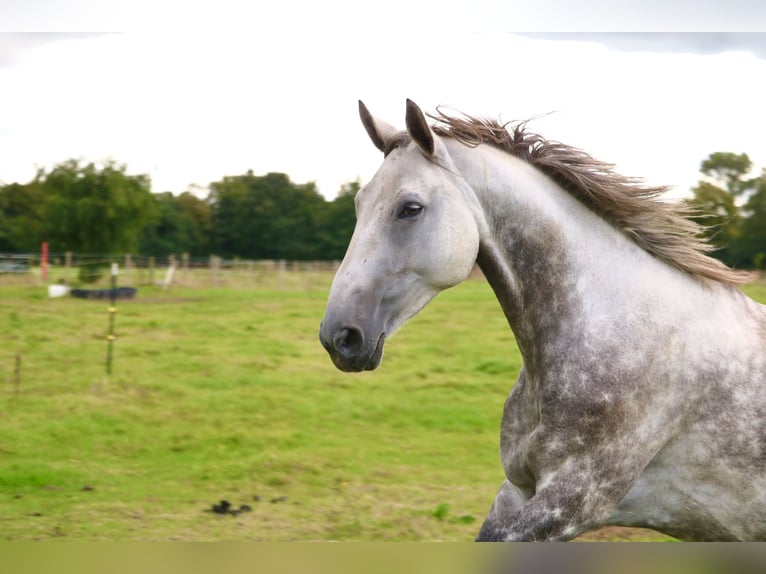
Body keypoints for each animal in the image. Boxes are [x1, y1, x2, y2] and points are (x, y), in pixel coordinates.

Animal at [318, 100, 766, 544]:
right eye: (359, 204)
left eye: (410, 208)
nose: (339, 337)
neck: (611, 330)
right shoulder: (516, 489)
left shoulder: (571, 502)